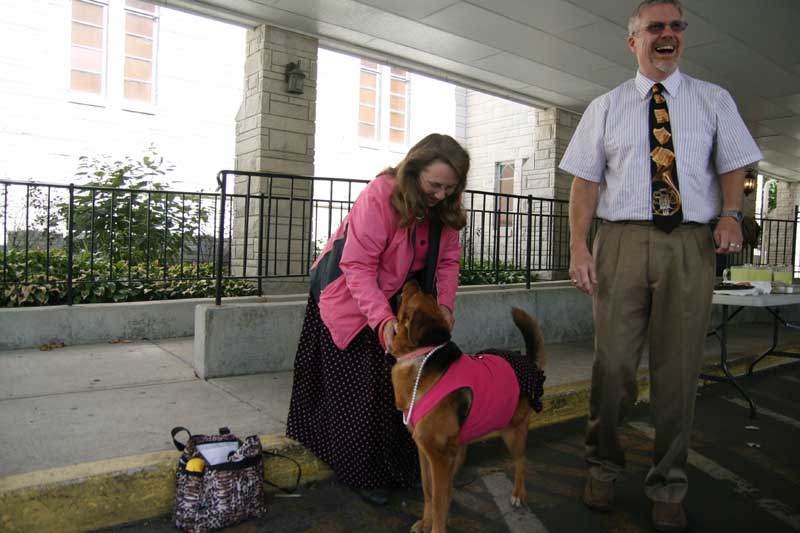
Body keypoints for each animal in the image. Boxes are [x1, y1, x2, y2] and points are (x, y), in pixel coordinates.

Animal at [390, 280, 548, 528]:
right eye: (429, 295)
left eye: (416, 293)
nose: (413, 280)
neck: (423, 356)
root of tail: (527, 362)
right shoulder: (425, 452)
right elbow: (428, 491)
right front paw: (425, 522)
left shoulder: (439, 458)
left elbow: (438, 503)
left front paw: (435, 525)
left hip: (512, 433)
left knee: (521, 462)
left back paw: (518, 494)